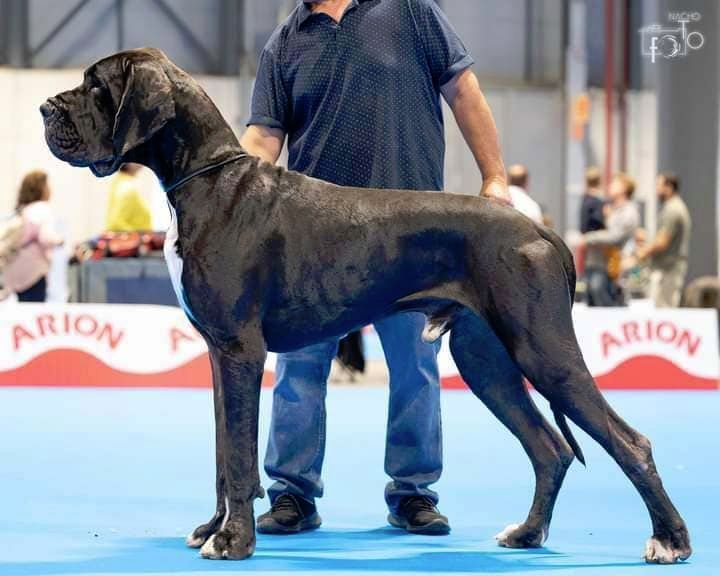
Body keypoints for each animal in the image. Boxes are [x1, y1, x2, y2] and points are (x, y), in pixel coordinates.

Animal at [40, 48, 692, 564]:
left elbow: (240, 457)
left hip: (543, 350)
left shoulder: (240, 350)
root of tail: (539, 229)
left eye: (96, 86)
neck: (208, 179)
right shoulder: (219, 355)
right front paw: (213, 528)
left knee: (629, 443)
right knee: (550, 449)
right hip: (488, 361)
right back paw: (528, 534)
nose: (46, 107)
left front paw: (233, 542)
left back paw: (670, 540)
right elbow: (225, 453)